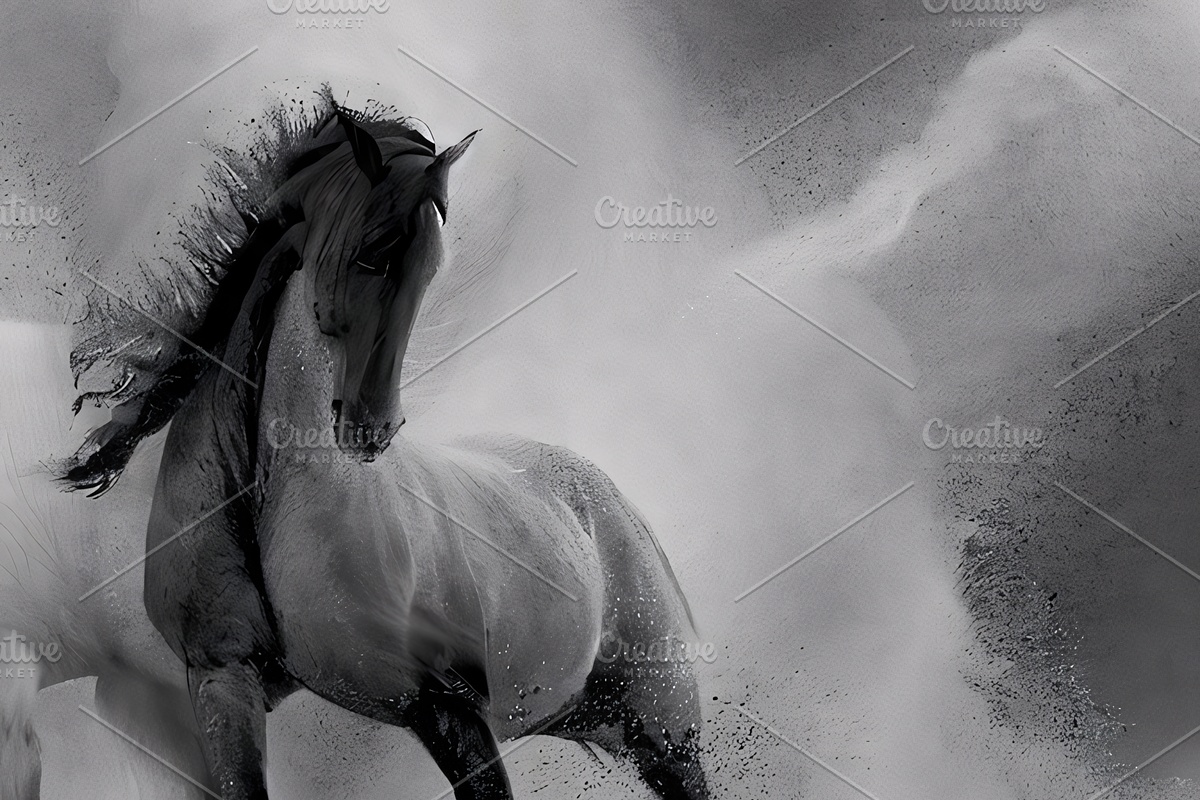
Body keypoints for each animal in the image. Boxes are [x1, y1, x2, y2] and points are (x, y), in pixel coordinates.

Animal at [59, 102, 708, 800]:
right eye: (373, 254)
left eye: (433, 267)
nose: (373, 426)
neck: (261, 495)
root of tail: (604, 496)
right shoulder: (222, 683)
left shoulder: (444, 707)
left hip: (667, 738)